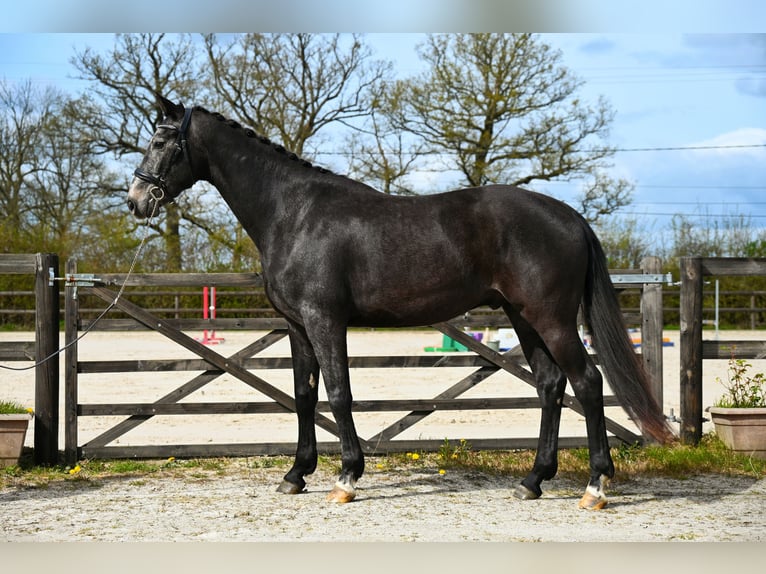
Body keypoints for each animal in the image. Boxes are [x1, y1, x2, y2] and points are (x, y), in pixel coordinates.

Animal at [128, 96, 674, 510]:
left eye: (160, 142)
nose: (135, 200)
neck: (294, 213)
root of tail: (570, 216)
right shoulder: (297, 326)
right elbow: (304, 395)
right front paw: (296, 474)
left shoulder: (325, 321)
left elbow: (338, 393)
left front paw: (347, 478)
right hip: (523, 318)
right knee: (550, 385)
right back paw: (533, 481)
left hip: (552, 319)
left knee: (587, 383)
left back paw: (595, 487)